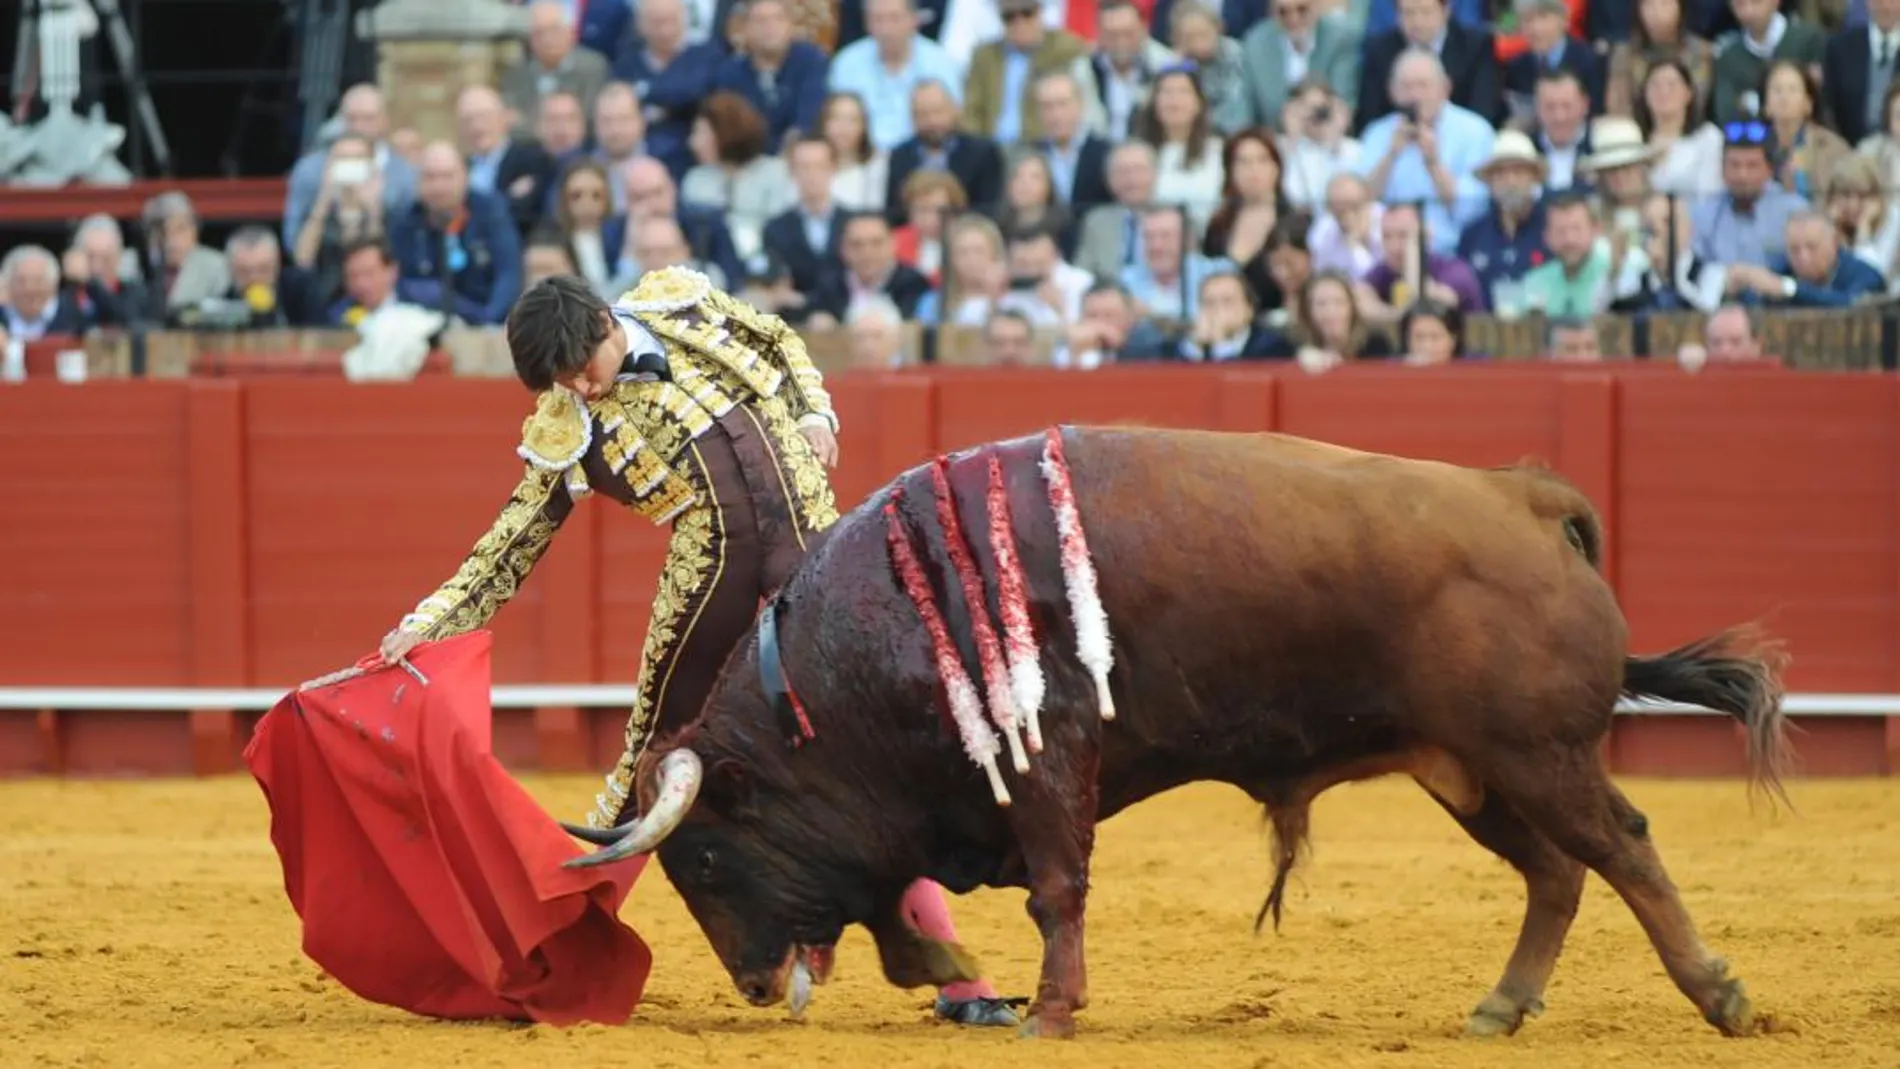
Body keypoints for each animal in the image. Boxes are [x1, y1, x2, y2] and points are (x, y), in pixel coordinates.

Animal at [554, 429, 1786, 1048]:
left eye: (707, 857)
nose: (758, 988)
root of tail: (1527, 499)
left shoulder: (1045, 749)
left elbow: (1057, 883)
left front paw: (1049, 1011)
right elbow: (907, 890)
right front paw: (954, 977)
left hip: (1536, 753)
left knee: (1623, 846)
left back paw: (1719, 995)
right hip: (1470, 769)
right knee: (1555, 872)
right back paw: (1499, 1006)